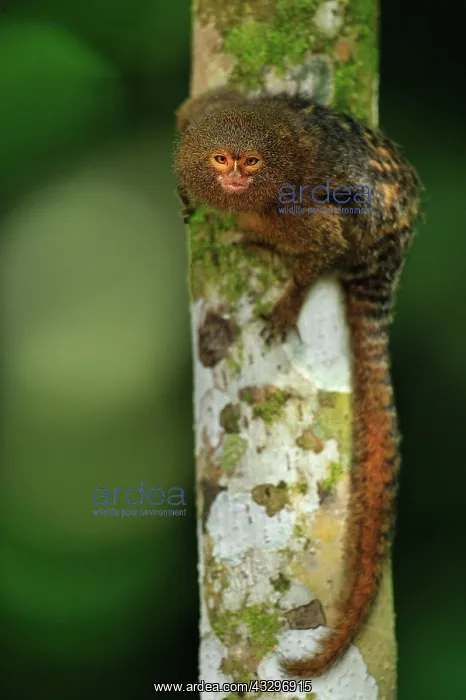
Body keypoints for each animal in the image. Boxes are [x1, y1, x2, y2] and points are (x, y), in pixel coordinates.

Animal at [173, 87, 421, 678]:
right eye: (221, 158)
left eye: (251, 162)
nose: (234, 178)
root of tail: (391, 252)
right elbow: (197, 109)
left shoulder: (300, 207)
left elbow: (320, 247)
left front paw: (289, 300)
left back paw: (262, 246)